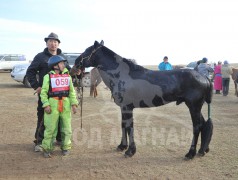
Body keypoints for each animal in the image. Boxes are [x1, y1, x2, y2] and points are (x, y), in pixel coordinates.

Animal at [74, 40, 214, 159]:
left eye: (87, 50)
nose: (76, 62)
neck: (122, 75)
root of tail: (204, 77)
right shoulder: (123, 108)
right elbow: (123, 125)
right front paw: (122, 146)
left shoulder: (127, 107)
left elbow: (129, 126)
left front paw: (130, 151)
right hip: (195, 107)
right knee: (203, 125)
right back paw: (202, 150)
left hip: (194, 106)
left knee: (197, 126)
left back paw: (190, 153)